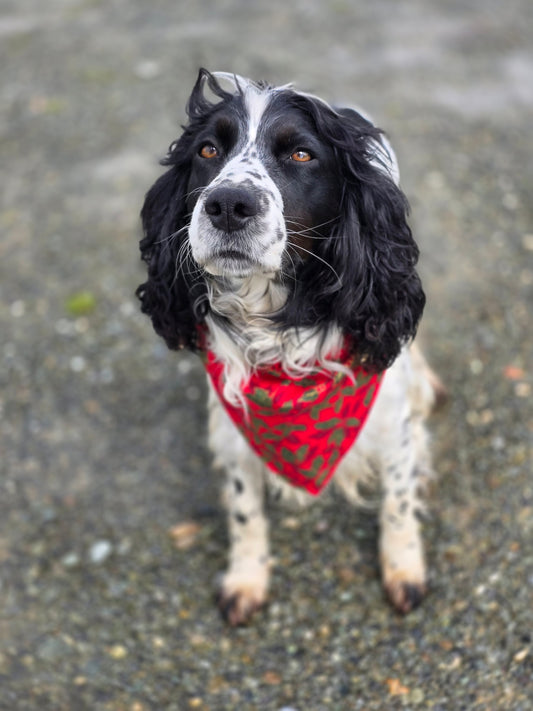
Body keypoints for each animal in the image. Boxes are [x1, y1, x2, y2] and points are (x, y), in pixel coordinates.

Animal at [135, 69, 442, 624]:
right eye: (208, 149)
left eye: (301, 154)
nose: (228, 205)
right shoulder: (233, 428)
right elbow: (244, 510)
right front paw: (246, 578)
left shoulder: (393, 425)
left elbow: (398, 500)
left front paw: (404, 567)